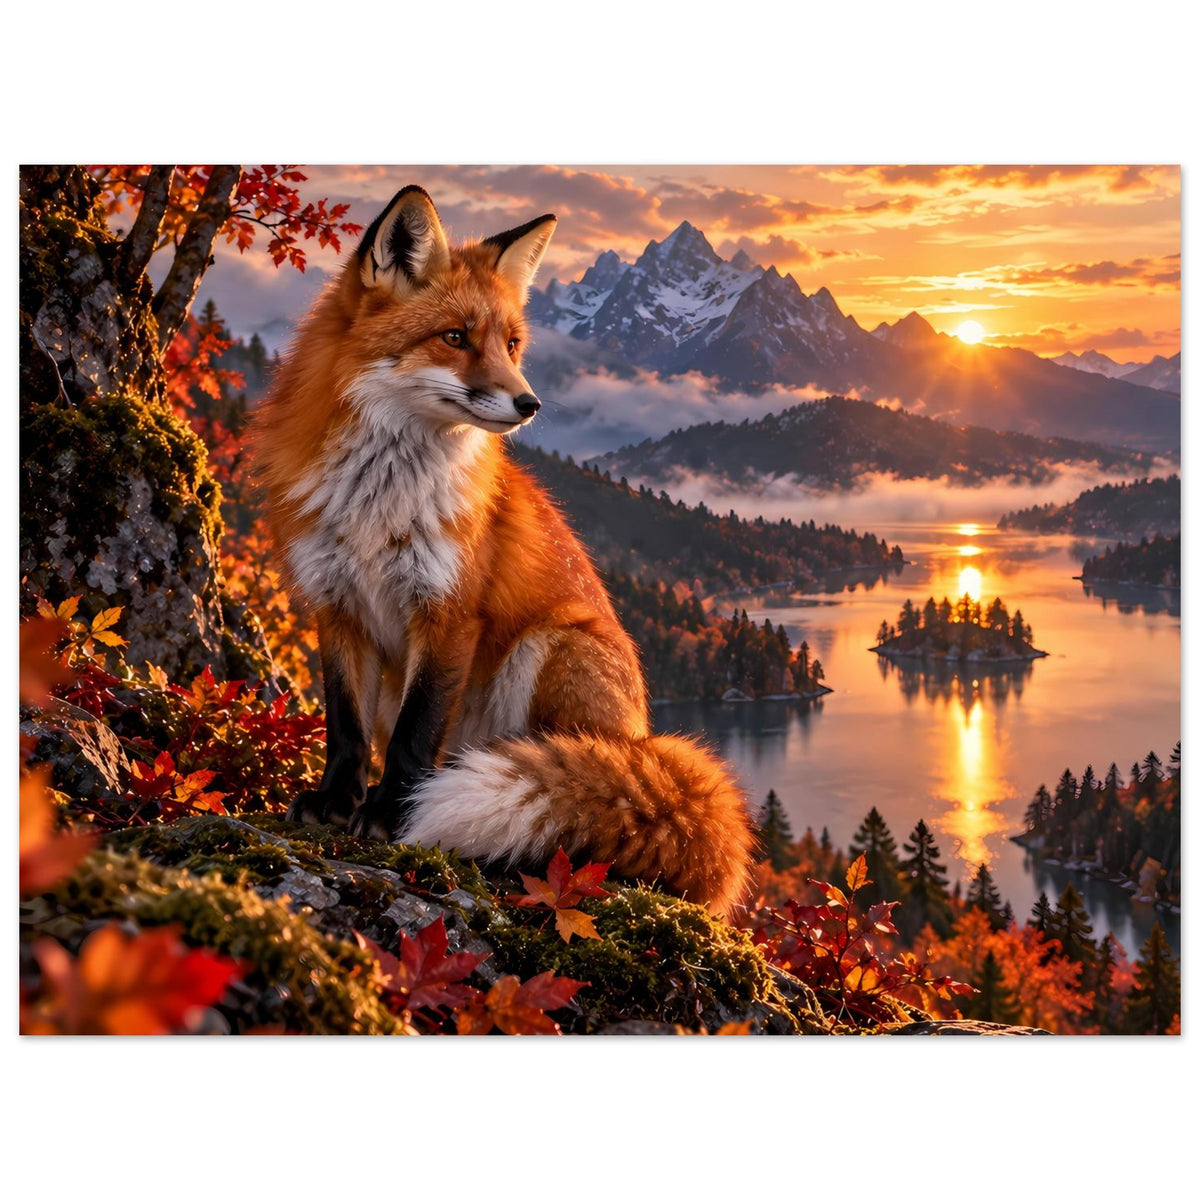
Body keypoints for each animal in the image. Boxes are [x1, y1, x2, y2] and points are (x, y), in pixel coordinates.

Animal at [255, 185, 754, 916]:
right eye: (455, 337)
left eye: (512, 343)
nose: (529, 403)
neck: (380, 502)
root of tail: (643, 738)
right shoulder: (337, 605)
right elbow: (346, 728)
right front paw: (335, 803)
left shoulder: (449, 612)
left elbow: (413, 736)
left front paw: (392, 816)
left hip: (549, 645)